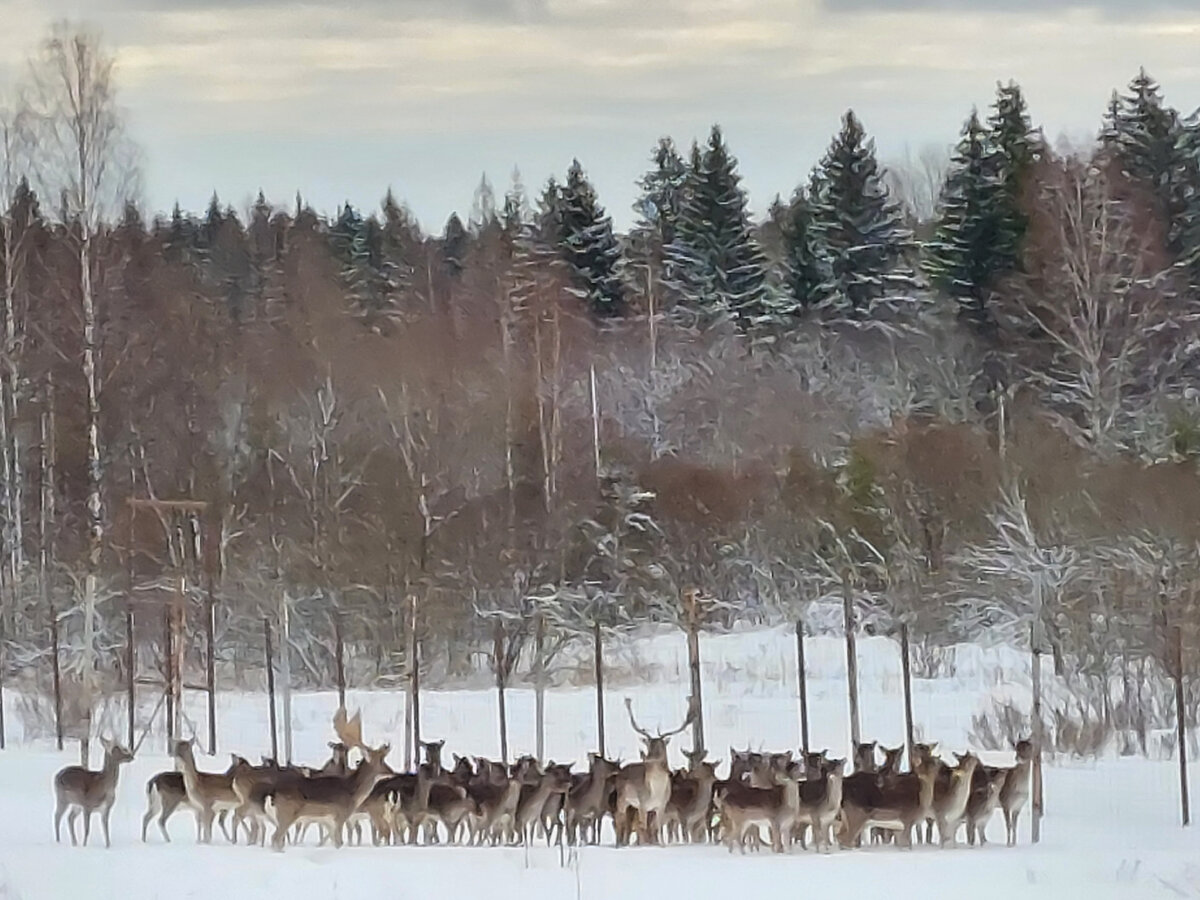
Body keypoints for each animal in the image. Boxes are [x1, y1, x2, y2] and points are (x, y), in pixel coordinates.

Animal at [614, 700, 700, 849]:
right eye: (649, 745)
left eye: (660, 746)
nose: (648, 757)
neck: (656, 791)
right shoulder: (643, 803)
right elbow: (643, 826)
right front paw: (644, 846)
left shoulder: (661, 805)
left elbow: (658, 827)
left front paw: (662, 845)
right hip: (622, 798)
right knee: (620, 819)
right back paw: (619, 844)